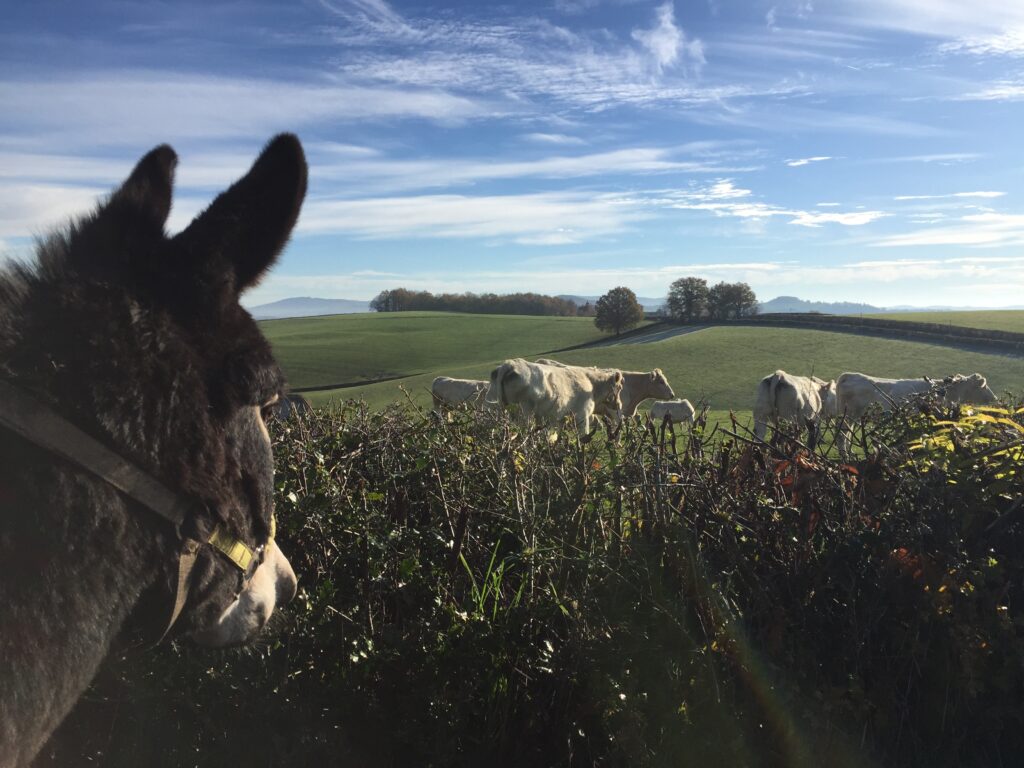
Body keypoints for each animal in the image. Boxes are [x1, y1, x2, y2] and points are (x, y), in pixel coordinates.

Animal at [485, 360, 622, 436]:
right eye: (620, 387)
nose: (619, 405)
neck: (591, 384)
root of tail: (510, 363)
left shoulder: (560, 419)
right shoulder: (582, 415)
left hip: (496, 408)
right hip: (524, 409)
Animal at [835, 370, 995, 454]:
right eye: (984, 386)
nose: (993, 398)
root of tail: (849, 375)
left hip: (853, 418)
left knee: (847, 435)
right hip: (848, 416)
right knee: (842, 436)